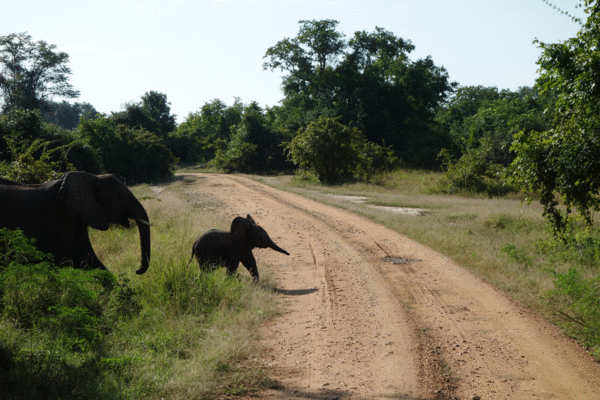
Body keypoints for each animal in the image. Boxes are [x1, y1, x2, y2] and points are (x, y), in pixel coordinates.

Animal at [0, 171, 151, 274]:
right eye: (120, 199)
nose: (137, 271)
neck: (92, 178)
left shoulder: (76, 219)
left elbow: (91, 260)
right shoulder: (59, 218)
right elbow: (69, 262)